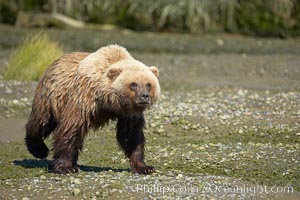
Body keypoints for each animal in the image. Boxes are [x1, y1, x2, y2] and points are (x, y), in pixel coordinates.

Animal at [25, 44, 161, 174]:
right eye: (133, 84)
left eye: (148, 84)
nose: (144, 96)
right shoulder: (84, 99)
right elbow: (71, 128)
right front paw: (65, 167)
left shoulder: (129, 113)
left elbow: (131, 135)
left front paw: (145, 167)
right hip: (50, 96)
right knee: (41, 121)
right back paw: (39, 149)